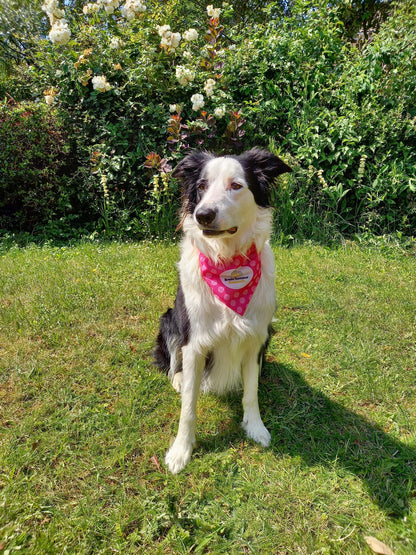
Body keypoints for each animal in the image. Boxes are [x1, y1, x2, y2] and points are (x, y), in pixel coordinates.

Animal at [154, 148, 290, 474]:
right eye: (202, 185)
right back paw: (178, 379)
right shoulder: (194, 342)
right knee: (173, 364)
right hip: (169, 320)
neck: (228, 262)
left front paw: (255, 427)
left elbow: (251, 393)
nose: (203, 214)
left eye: (236, 185)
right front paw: (181, 451)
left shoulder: (256, 337)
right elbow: (188, 407)